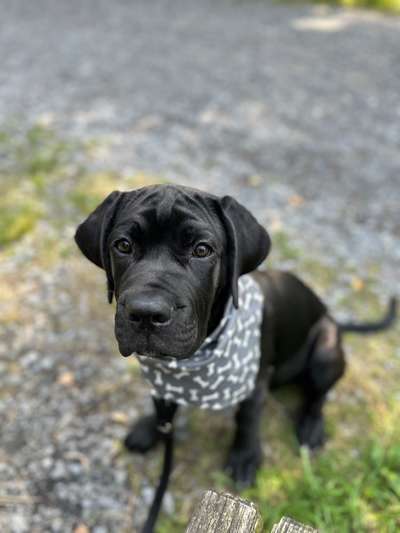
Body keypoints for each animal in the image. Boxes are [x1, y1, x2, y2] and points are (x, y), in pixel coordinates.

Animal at [75, 183, 396, 486]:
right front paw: (151, 427)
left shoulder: (255, 382)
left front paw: (245, 458)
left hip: (326, 351)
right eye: (123, 245)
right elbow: (162, 403)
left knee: (319, 394)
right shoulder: (162, 378)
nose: (146, 313)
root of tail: (332, 317)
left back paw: (312, 427)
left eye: (202, 250)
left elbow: (248, 420)